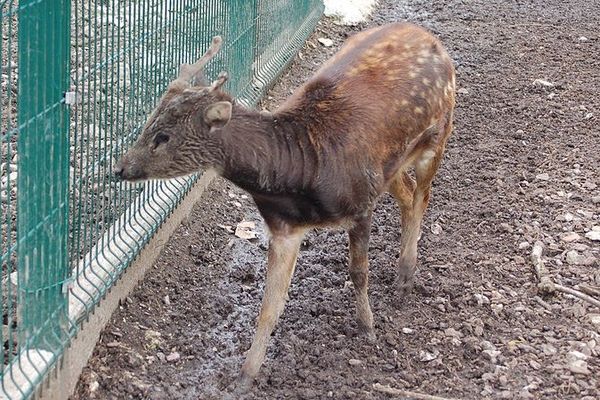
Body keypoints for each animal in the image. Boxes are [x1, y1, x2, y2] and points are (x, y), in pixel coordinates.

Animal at [112, 21, 454, 390]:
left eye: (163, 137)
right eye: (148, 123)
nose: (120, 168)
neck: (304, 174)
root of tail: (427, 36)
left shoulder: (361, 203)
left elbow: (358, 273)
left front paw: (368, 329)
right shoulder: (283, 227)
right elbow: (270, 305)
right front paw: (246, 375)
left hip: (438, 134)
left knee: (422, 196)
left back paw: (405, 276)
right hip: (391, 166)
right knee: (408, 193)